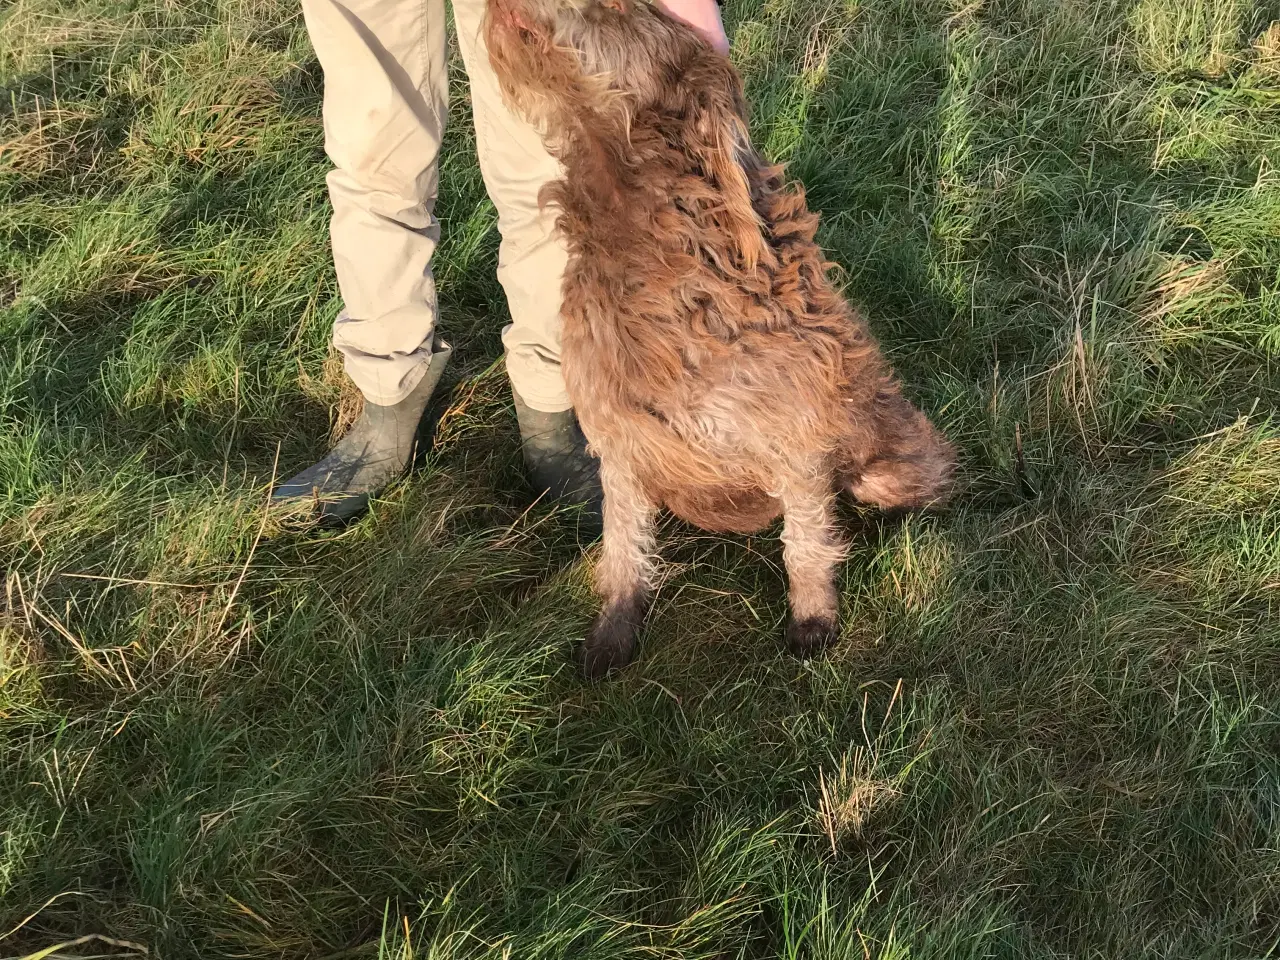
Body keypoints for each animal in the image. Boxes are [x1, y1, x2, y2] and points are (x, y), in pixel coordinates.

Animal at [483, 0, 957, 680]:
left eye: (616, 6)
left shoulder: (798, 442)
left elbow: (805, 541)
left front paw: (813, 621)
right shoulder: (621, 446)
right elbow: (623, 549)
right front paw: (612, 633)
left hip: (891, 466)